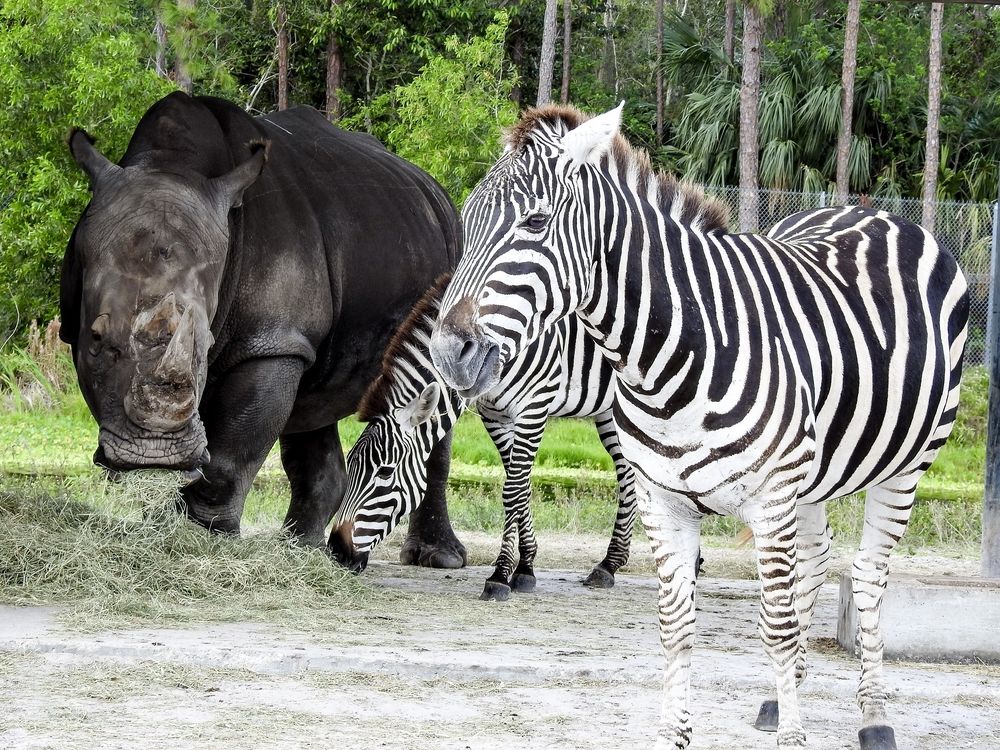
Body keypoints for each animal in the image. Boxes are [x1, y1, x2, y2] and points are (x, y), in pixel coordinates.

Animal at [59, 91, 466, 567]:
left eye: (206, 343)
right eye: (95, 340)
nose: (153, 453)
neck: (169, 165)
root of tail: (439, 194)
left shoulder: (272, 342)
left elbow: (233, 451)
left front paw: (208, 540)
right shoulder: (283, 338)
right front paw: (163, 534)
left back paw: (436, 558)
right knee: (314, 403)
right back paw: (302, 552)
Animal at [327, 273, 639, 601]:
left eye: (385, 473)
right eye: (351, 468)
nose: (336, 552)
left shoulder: (533, 409)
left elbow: (513, 491)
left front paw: (502, 575)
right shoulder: (494, 415)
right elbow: (521, 488)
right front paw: (525, 567)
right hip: (610, 409)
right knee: (628, 476)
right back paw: (608, 565)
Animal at [428, 103, 968, 750]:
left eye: (535, 222)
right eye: (465, 224)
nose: (447, 353)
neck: (674, 355)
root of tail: (875, 212)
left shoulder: (770, 498)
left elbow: (776, 627)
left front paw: (796, 735)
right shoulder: (665, 502)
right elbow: (676, 625)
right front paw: (682, 731)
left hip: (907, 465)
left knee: (866, 576)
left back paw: (874, 715)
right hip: (813, 477)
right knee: (817, 559)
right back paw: (778, 699)